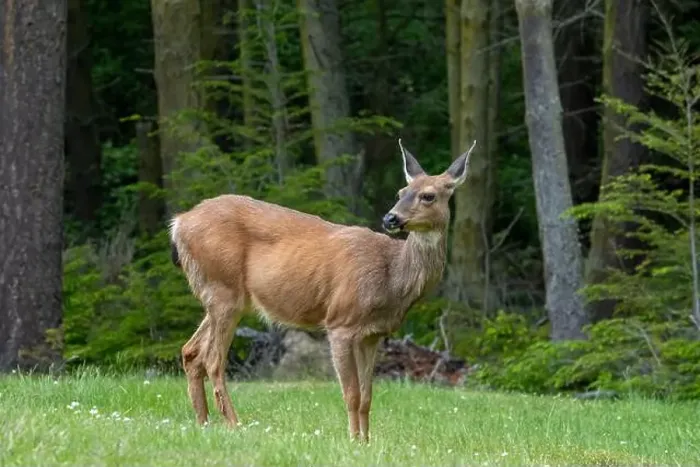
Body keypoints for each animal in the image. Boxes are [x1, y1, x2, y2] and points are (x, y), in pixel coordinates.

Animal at [169, 139, 477, 442]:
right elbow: (351, 394)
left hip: (226, 297)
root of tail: (178, 223)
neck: (391, 277)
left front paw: (366, 442)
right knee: (212, 359)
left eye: (428, 196)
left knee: (191, 351)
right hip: (223, 289)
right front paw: (353, 441)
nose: (390, 218)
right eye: (401, 191)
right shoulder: (340, 322)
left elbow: (367, 396)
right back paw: (234, 424)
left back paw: (203, 423)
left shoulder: (372, 335)